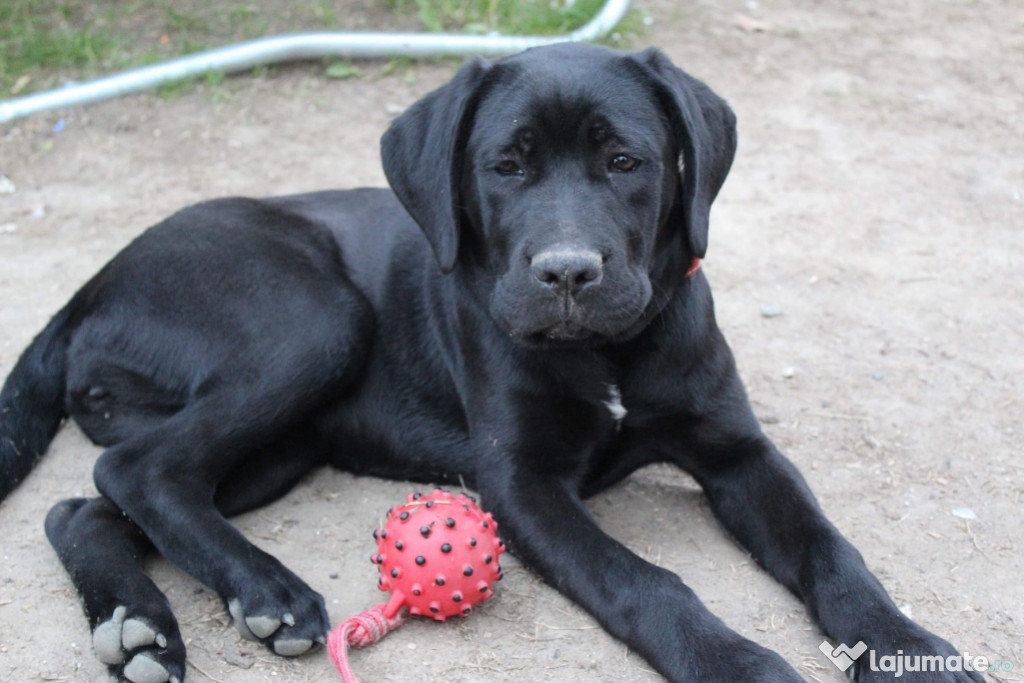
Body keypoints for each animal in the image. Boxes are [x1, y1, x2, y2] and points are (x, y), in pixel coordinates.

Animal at [0, 44, 974, 683]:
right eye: (505, 166)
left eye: (625, 160)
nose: (568, 273)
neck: (605, 353)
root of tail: (91, 285)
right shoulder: (522, 483)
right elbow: (644, 580)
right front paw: (738, 663)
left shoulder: (739, 450)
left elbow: (831, 549)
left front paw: (912, 649)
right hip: (314, 321)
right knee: (137, 469)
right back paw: (265, 590)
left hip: (283, 444)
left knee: (92, 503)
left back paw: (140, 627)